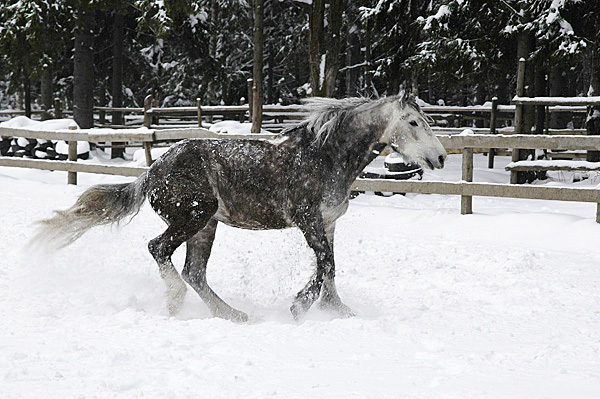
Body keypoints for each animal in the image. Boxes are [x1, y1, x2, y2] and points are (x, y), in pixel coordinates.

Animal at [32, 92, 446, 324]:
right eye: (413, 122)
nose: (441, 157)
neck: (324, 157)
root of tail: (153, 171)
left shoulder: (328, 224)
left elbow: (330, 268)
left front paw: (339, 311)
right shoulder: (308, 221)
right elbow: (325, 265)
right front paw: (300, 308)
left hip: (205, 226)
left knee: (194, 271)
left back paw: (233, 315)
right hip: (194, 216)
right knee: (159, 249)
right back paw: (176, 304)